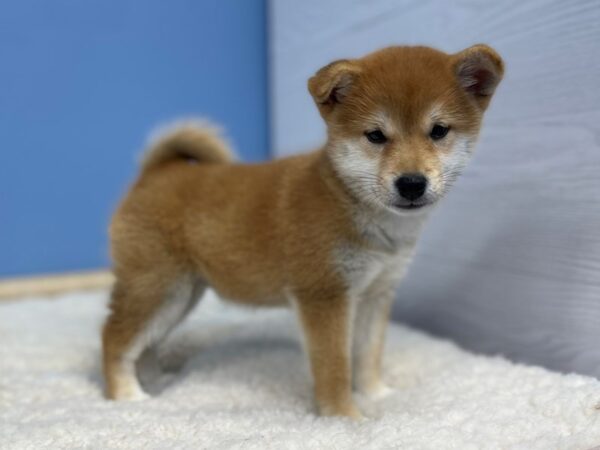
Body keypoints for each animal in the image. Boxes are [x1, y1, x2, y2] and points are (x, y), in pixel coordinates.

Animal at [102, 44, 502, 418]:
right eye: (375, 135)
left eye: (438, 131)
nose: (412, 183)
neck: (350, 202)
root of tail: (154, 174)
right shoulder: (324, 295)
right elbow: (335, 366)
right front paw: (345, 418)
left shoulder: (376, 293)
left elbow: (368, 355)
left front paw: (377, 396)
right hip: (158, 286)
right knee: (114, 337)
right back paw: (127, 397)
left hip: (181, 294)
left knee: (146, 342)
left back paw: (154, 383)